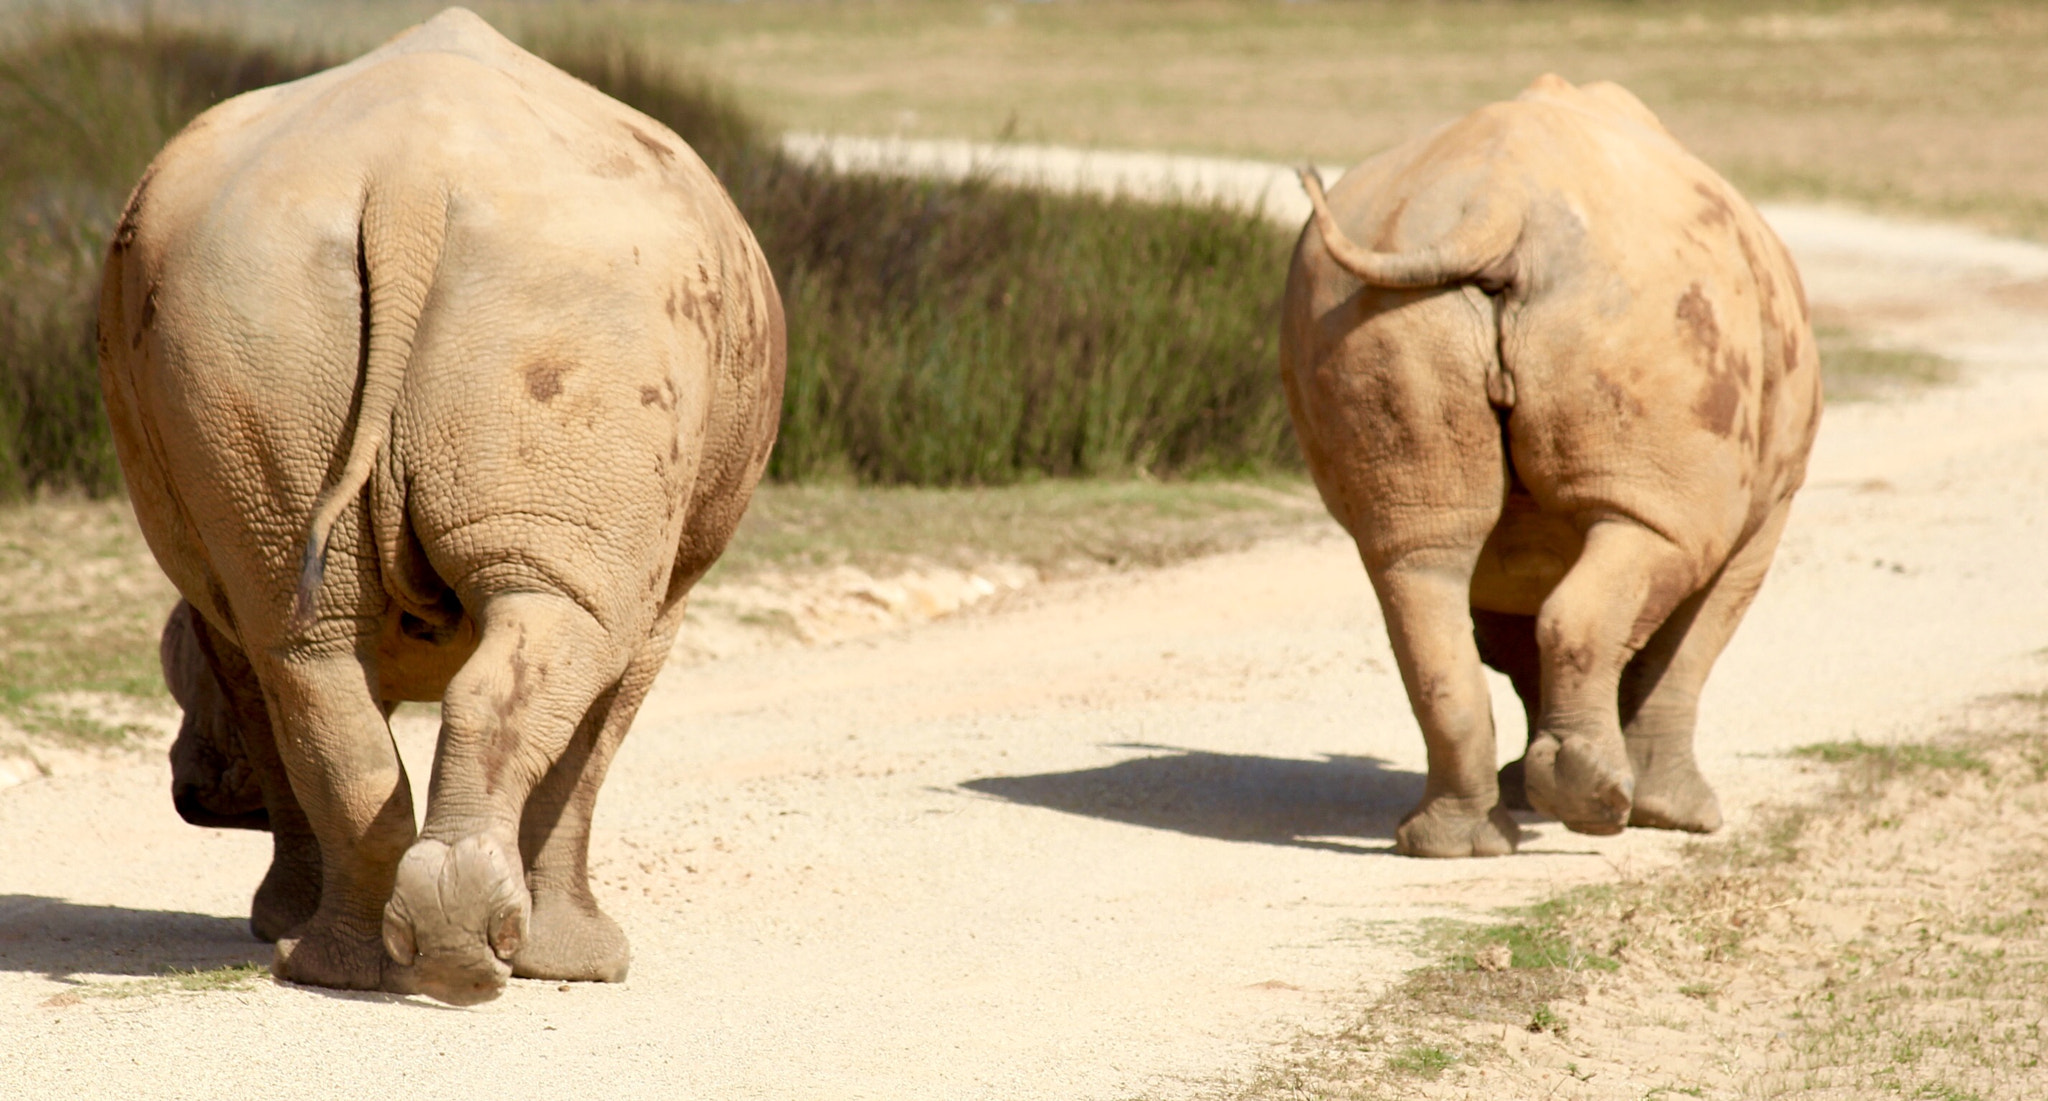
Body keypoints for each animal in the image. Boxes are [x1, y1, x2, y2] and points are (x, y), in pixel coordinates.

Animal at [99, 8, 785, 1001]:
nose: (191, 797)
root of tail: (408, 184)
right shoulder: (654, 588)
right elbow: (591, 742)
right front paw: (580, 963)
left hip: (253, 304)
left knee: (308, 641)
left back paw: (358, 963)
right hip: (574, 298)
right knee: (394, 639)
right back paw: (420, 956)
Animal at [1281, 74, 1821, 857]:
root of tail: (1496, 204)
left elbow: (1514, 642)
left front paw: (1531, 787)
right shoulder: (1759, 513)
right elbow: (1687, 653)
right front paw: (1681, 817)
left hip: (1379, 309)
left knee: (1416, 559)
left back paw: (1455, 842)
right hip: (1656, 305)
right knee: (1639, 548)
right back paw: (1596, 803)